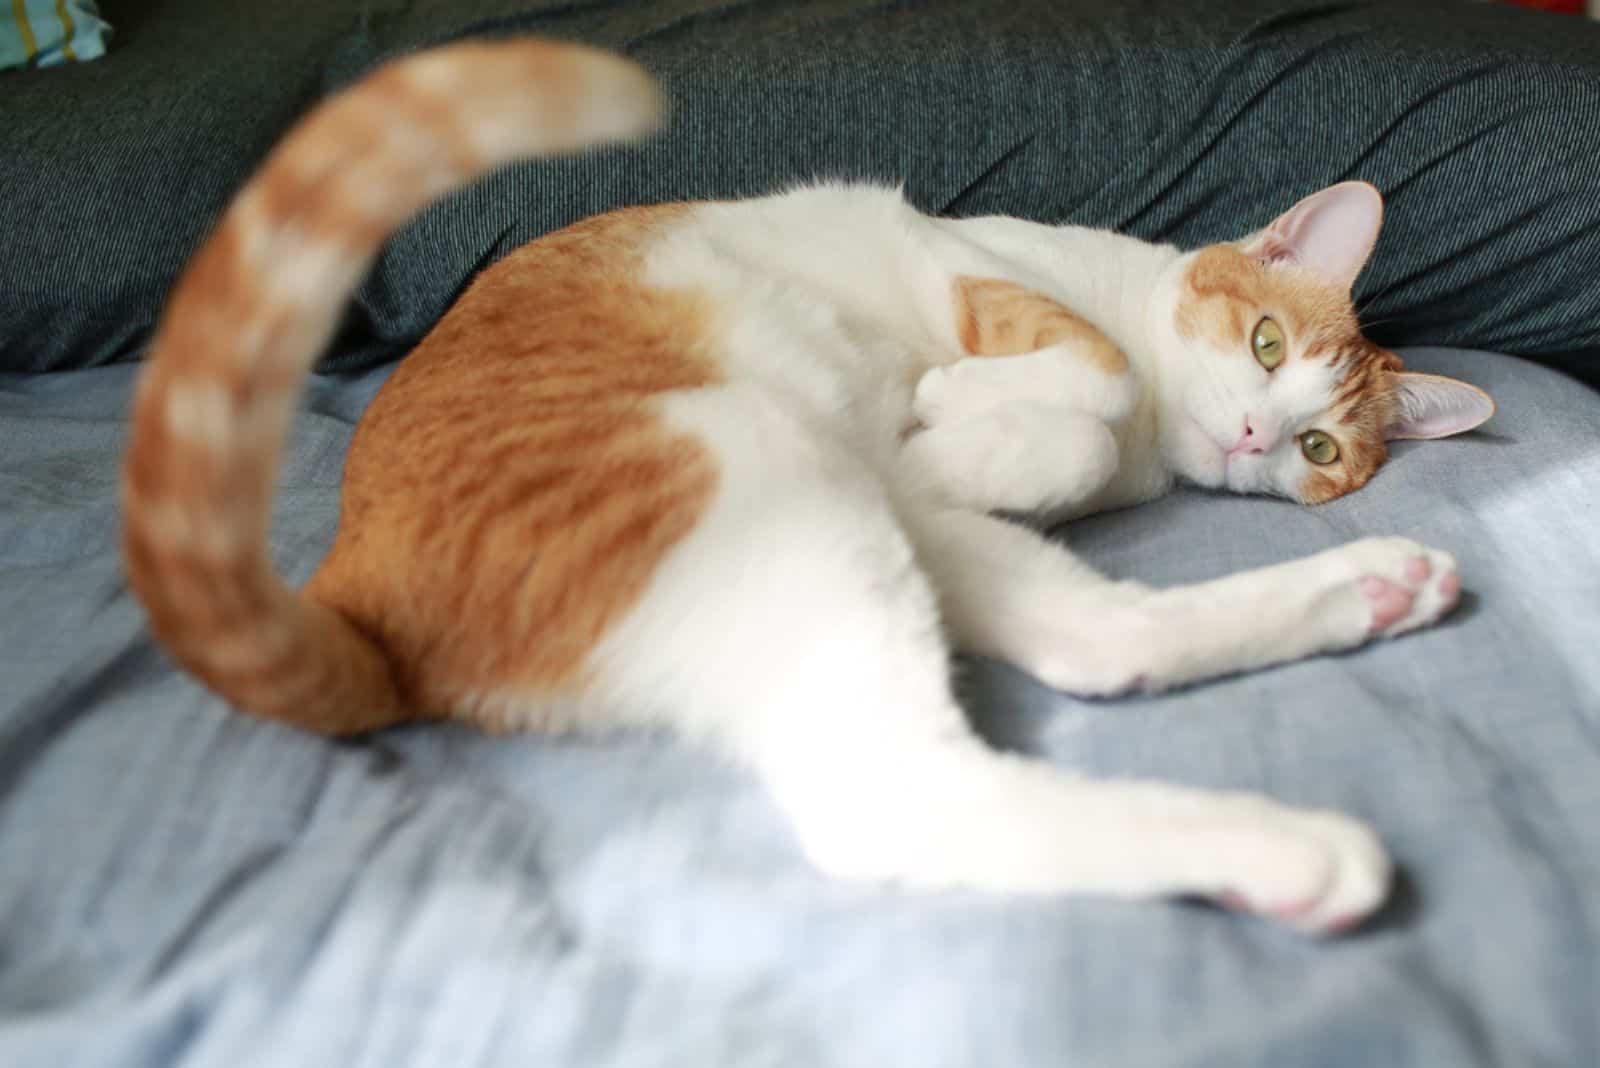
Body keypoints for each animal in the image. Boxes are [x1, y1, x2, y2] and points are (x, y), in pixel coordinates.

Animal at [124, 39, 1497, 933]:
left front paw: (963, 431)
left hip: (850, 527)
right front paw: (957, 413)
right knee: (906, 791)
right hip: (757, 466)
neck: (1164, 435)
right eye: (1264, 343)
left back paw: (1371, 596)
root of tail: (351, 585)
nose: (1261, 429)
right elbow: (1091, 386)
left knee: (1091, 647)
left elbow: (1067, 443)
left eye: (1320, 451)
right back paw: (1289, 838)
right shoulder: (972, 267)